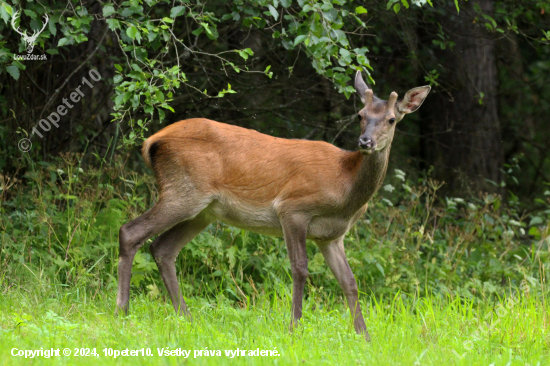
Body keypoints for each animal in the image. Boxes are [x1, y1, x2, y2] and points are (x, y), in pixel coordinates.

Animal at [118, 71, 434, 340]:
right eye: (360, 115)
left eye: (391, 119)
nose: (365, 142)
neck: (344, 186)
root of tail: (151, 141)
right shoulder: (293, 208)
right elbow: (300, 268)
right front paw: (294, 328)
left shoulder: (331, 236)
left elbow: (349, 281)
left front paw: (364, 337)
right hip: (184, 191)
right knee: (130, 231)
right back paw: (122, 311)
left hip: (203, 210)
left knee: (163, 248)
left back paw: (186, 317)